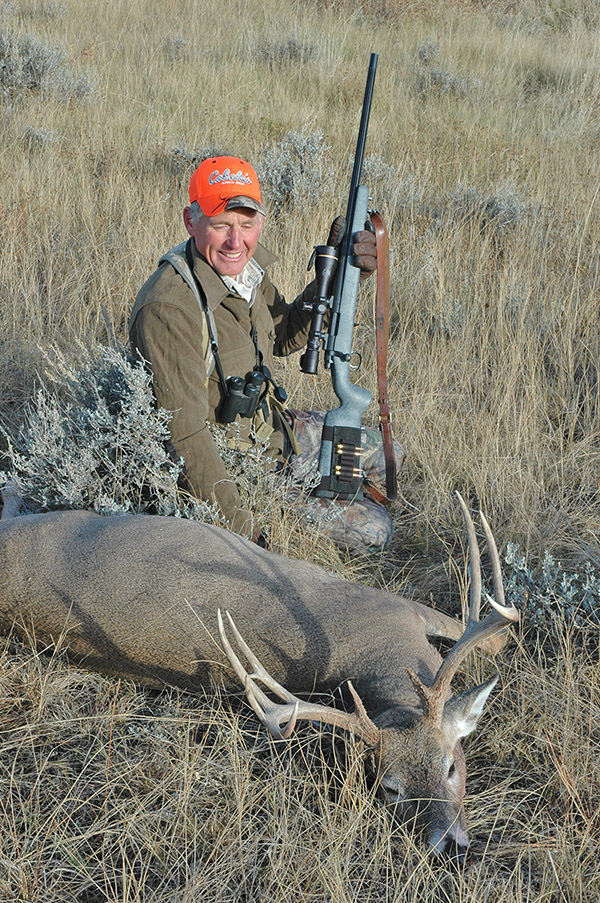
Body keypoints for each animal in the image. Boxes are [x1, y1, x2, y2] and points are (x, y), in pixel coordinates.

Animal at [0, 486, 518, 862]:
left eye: (452, 766)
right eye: (390, 789)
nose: (449, 846)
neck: (387, 650)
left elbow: (500, 635)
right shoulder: (399, 608)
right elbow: (502, 633)